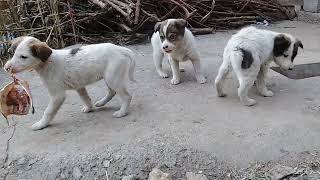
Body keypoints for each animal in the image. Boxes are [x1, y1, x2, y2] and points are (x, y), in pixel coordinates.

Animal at [4, 36, 136, 130]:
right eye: (12, 53)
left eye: (23, 57)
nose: (6, 68)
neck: (48, 62)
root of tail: (120, 49)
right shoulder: (79, 86)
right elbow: (85, 98)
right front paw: (89, 108)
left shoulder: (57, 95)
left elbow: (48, 112)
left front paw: (41, 124)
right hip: (110, 77)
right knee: (112, 92)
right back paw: (101, 103)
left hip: (112, 77)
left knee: (126, 96)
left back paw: (122, 112)